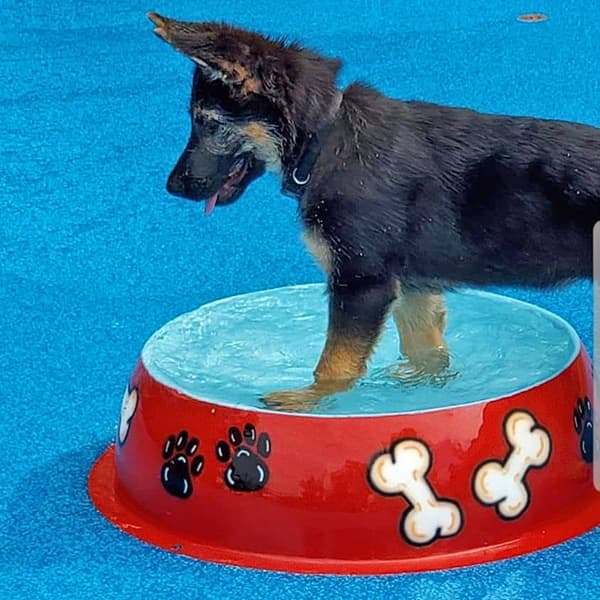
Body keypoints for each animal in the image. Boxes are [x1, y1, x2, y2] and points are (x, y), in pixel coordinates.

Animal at [148, 11, 600, 412]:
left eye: (208, 124)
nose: (172, 187)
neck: (323, 139)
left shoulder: (362, 284)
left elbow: (333, 365)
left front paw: (311, 401)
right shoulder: (412, 287)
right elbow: (426, 352)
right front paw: (423, 388)